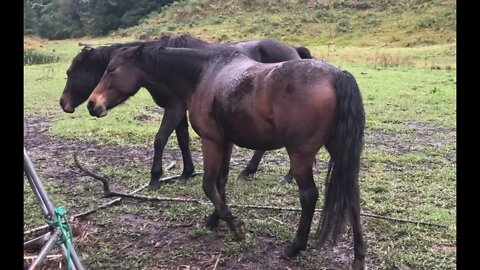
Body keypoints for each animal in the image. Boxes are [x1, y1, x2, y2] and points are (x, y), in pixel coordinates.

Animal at [58, 34, 314, 189]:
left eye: (71, 72)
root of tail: (294, 51)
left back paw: (287, 176)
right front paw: (186, 173)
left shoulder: (174, 107)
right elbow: (182, 139)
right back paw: (250, 171)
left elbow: (160, 139)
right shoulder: (179, 110)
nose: (64, 103)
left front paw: (155, 178)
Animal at [86, 44, 366, 268]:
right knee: (352, 195)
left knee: (309, 196)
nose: (92, 104)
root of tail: (337, 75)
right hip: (338, 151)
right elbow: (220, 182)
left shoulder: (211, 141)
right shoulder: (226, 142)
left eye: (111, 69)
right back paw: (358, 255)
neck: (203, 74)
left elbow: (208, 184)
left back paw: (294, 247)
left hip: (300, 155)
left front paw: (234, 226)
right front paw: (215, 218)